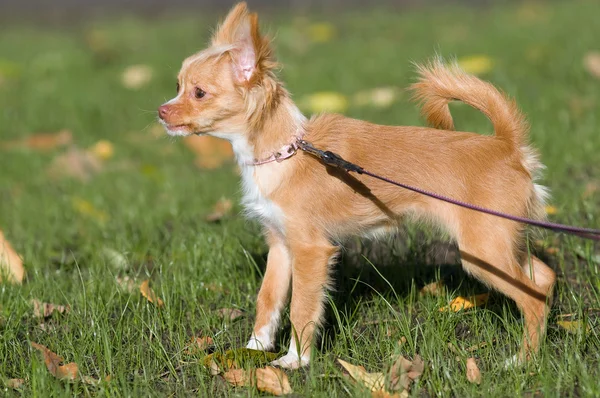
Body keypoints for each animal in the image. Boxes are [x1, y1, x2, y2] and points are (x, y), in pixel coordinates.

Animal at [157, 2, 556, 370]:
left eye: (198, 93)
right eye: (177, 87)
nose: (161, 111)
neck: (284, 152)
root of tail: (507, 145)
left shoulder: (310, 251)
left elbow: (301, 308)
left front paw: (295, 361)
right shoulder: (280, 245)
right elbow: (268, 300)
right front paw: (254, 349)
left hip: (483, 252)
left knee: (533, 298)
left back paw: (523, 362)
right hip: (500, 243)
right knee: (544, 278)